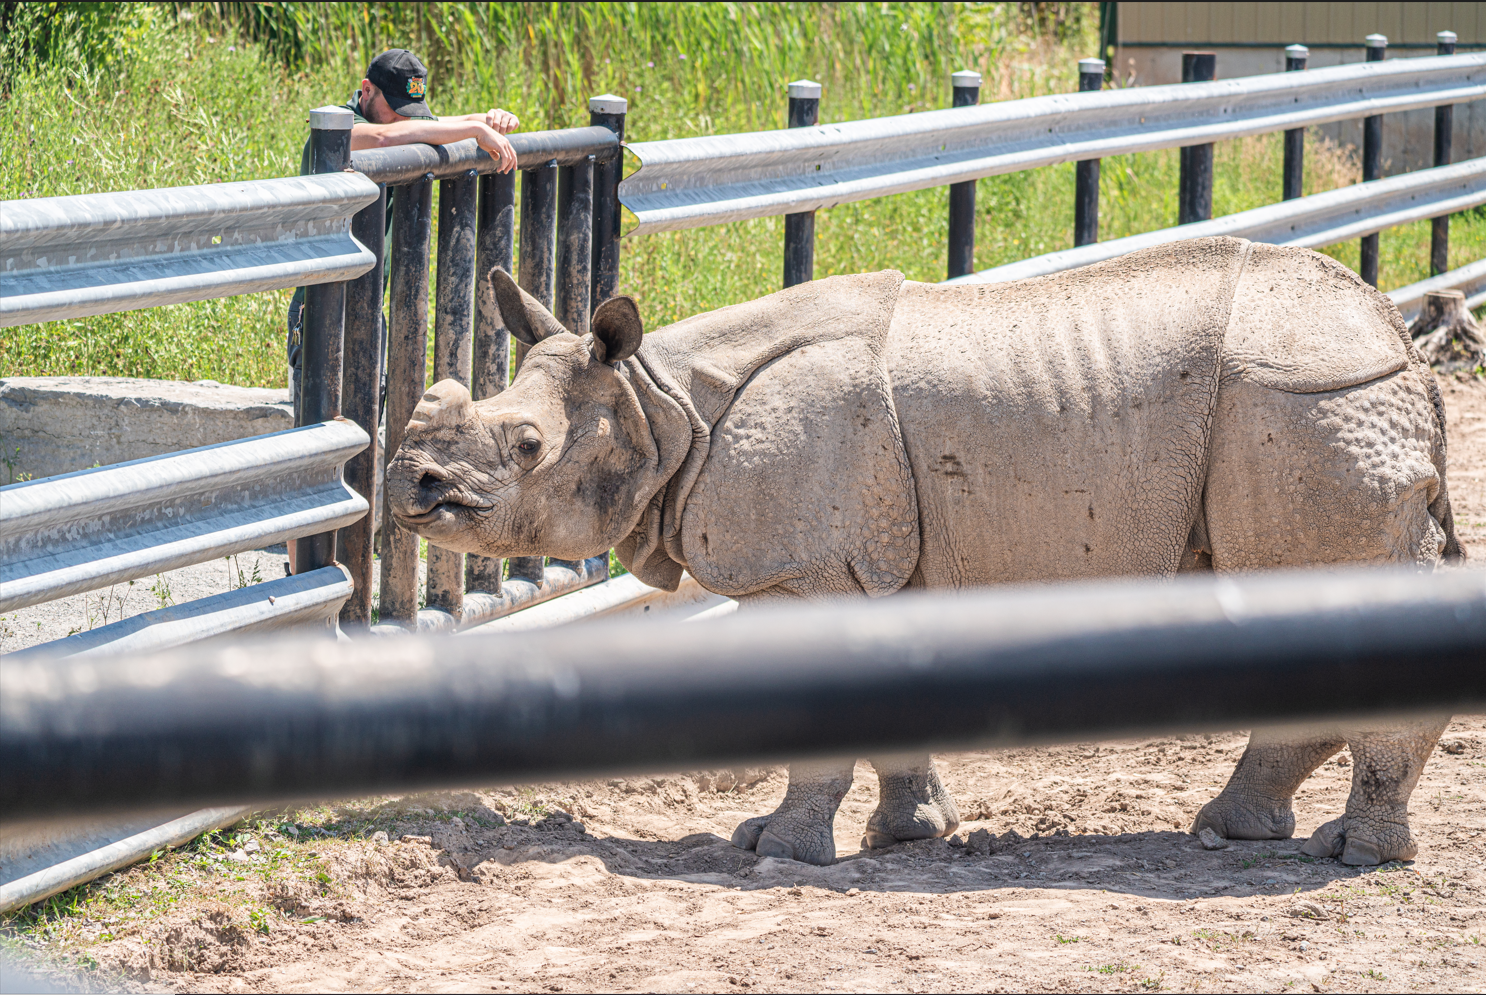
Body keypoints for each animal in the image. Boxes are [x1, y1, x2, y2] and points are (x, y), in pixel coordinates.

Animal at [385, 237, 1460, 868]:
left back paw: (1355, 855)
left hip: (1308, 402)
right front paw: (908, 835)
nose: (409, 485)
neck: (658, 401)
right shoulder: (870, 568)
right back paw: (1237, 832)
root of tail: (1397, 337)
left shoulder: (802, 569)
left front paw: (776, 850)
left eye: (526, 446)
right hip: (1316, 403)